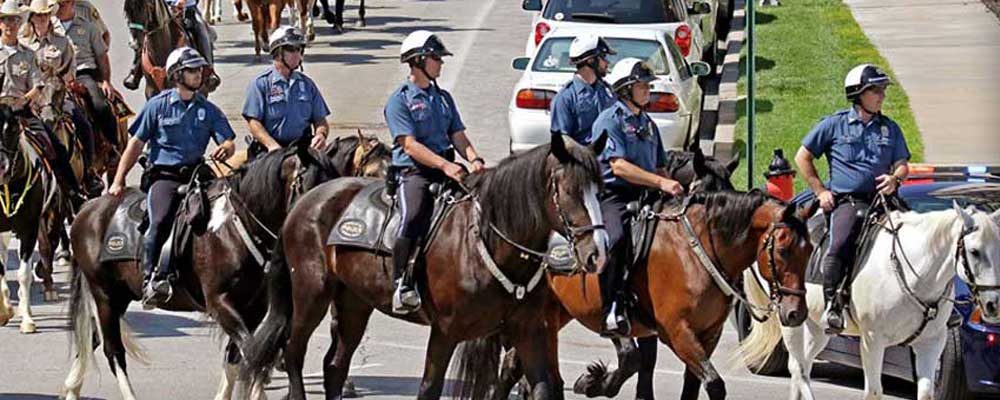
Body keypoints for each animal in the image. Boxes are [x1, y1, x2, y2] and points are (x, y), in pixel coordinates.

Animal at [243, 135, 612, 400]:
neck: (487, 242)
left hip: (353, 303)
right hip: (311, 294)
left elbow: (542, 387)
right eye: (569, 191)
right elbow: (429, 390)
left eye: (600, 190)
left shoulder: (529, 331)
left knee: (335, 366)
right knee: (293, 352)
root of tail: (305, 202)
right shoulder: (445, 331)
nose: (597, 253)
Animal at [500, 190, 820, 400]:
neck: (694, 252)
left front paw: (593, 381)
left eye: (810, 250)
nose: (796, 312)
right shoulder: (676, 331)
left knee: (518, 367)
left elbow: (693, 385)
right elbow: (713, 383)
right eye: (782, 250)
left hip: (553, 313)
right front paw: (594, 381)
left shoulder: (708, 334)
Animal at [744, 203, 1000, 400]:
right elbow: (874, 392)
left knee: (803, 367)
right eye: (974, 251)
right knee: (797, 368)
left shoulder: (931, 343)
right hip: (790, 318)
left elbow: (926, 393)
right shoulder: (872, 341)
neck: (914, 272)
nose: (993, 305)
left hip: (816, 326)